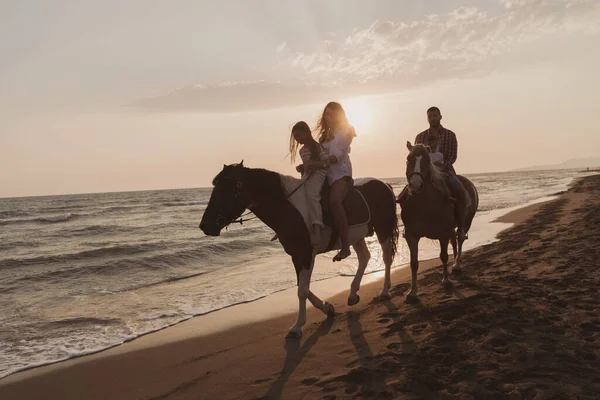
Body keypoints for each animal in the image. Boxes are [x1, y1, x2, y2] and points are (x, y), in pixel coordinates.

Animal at [199, 162, 400, 338]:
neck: (288, 209)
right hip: (357, 235)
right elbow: (302, 287)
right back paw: (352, 294)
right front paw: (327, 308)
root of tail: (384, 184)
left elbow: (302, 290)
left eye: (224, 189)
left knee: (386, 258)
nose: (204, 225)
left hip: (382, 228)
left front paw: (297, 327)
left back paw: (384, 292)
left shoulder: (306, 254)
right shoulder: (297, 256)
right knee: (365, 257)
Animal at [400, 142, 480, 302]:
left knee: (460, 239)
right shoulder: (412, 235)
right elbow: (413, 263)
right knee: (454, 241)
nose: (415, 185)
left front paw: (446, 281)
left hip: (466, 221)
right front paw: (412, 292)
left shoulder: (443, 233)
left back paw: (457, 265)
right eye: (409, 159)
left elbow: (443, 256)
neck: (424, 205)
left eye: (427, 161)